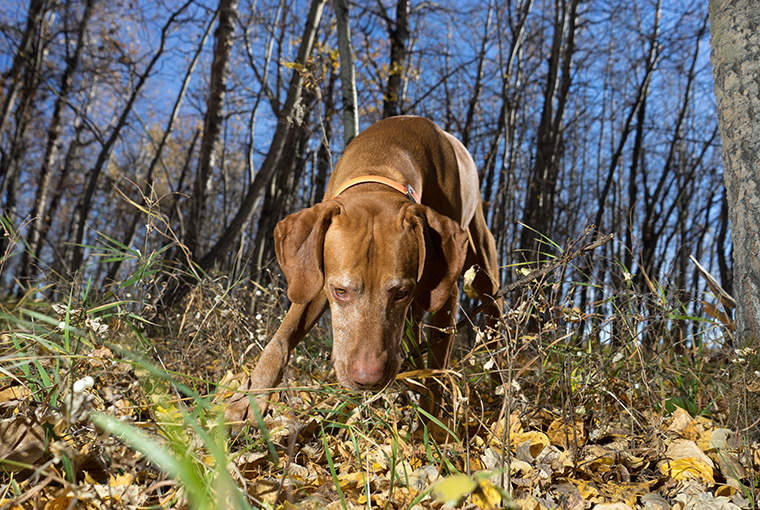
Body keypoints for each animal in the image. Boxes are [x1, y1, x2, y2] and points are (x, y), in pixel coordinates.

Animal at [223, 116, 502, 426]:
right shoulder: (315, 279)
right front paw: (250, 397)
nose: (367, 379)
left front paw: (432, 430)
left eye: (401, 293)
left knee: (494, 328)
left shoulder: (445, 293)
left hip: (483, 270)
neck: (382, 163)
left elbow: (438, 375)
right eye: (340, 291)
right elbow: (280, 339)